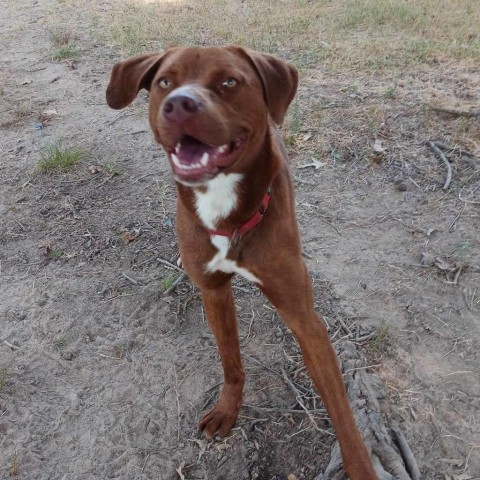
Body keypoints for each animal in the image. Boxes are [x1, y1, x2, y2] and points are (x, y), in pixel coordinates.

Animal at [107, 46, 376, 480]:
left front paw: (361, 466)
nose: (179, 103)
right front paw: (227, 409)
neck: (226, 216)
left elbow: (340, 408)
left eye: (229, 81)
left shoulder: (305, 318)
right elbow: (230, 359)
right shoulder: (213, 291)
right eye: (165, 81)